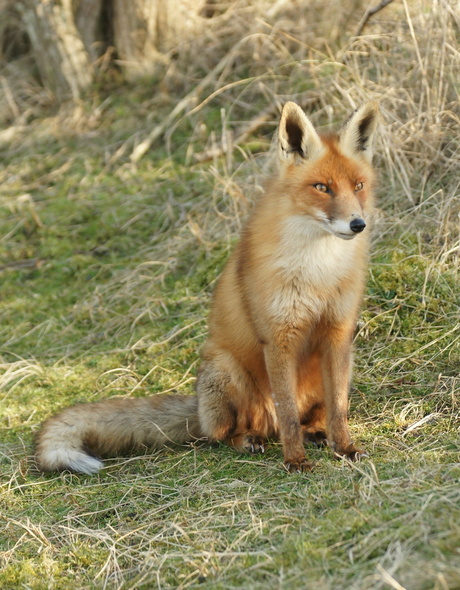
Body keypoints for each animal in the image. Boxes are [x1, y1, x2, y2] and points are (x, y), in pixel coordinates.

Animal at [35, 99, 378, 474]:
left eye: (358, 186)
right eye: (322, 187)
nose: (357, 224)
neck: (319, 271)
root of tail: (198, 408)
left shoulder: (338, 332)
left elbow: (339, 410)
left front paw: (344, 448)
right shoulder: (278, 338)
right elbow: (287, 414)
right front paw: (295, 460)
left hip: (344, 363)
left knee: (310, 417)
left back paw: (316, 432)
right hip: (227, 372)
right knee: (230, 433)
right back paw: (249, 440)